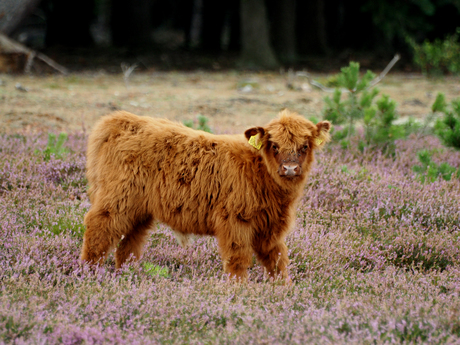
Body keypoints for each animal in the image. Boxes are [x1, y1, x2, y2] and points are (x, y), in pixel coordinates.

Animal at [80, 109, 330, 280]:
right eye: (274, 145)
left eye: (305, 146)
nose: (290, 168)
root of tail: (122, 120)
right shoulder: (235, 221)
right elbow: (238, 259)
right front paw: (239, 290)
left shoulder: (271, 227)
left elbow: (278, 261)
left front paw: (283, 290)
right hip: (117, 200)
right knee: (99, 228)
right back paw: (88, 273)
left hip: (139, 210)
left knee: (129, 245)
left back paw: (127, 276)